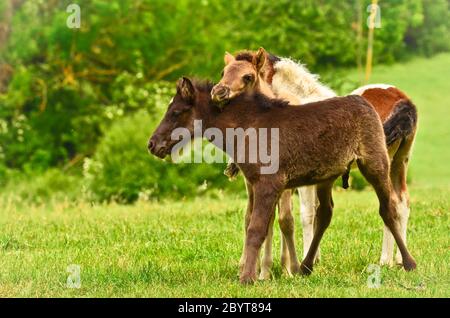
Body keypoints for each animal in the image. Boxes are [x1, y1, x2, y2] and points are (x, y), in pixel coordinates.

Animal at [149, 77, 416, 284]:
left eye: (176, 112)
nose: (152, 144)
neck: (247, 127)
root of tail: (365, 103)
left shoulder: (269, 184)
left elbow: (256, 229)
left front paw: (248, 278)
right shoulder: (258, 184)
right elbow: (257, 225)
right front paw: (260, 272)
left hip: (375, 163)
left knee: (389, 208)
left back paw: (408, 262)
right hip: (327, 177)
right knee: (325, 214)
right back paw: (306, 266)